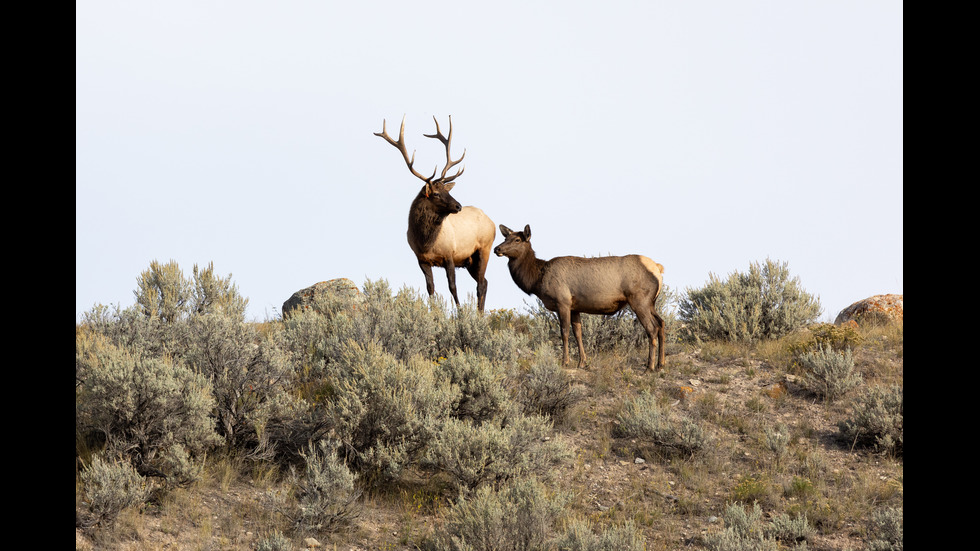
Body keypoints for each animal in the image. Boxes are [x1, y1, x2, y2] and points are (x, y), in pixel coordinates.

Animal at [378, 115, 498, 314]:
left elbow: (452, 286)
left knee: (481, 283)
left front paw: (460, 313)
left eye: (446, 190)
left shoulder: (450, 255)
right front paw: (435, 313)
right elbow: (430, 288)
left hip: (484, 249)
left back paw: (479, 315)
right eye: (435, 193)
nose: (458, 206)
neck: (426, 242)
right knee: (485, 282)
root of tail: (492, 222)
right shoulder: (422, 259)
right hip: (469, 261)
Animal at [498, 224, 668, 370]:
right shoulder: (575, 307)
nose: (497, 248)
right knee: (661, 323)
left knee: (652, 328)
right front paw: (582, 362)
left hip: (639, 300)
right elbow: (578, 333)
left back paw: (650, 366)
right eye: (505, 237)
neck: (537, 280)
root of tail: (658, 268)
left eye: (517, 239)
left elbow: (564, 332)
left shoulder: (562, 302)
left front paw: (565, 362)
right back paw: (661, 364)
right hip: (651, 302)